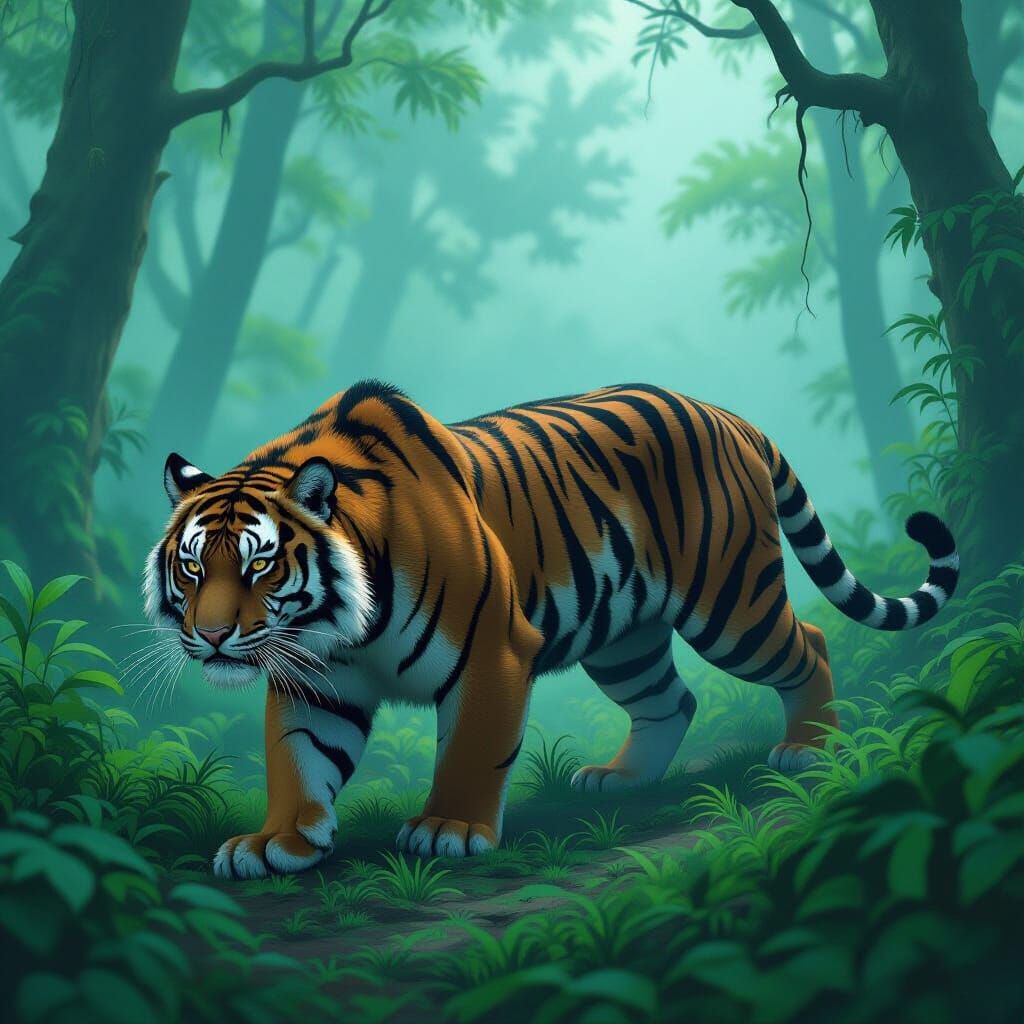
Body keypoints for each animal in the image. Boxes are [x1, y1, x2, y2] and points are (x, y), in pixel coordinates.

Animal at [144, 381, 959, 878]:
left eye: (259, 565)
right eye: (192, 566)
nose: (210, 637)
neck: (337, 626)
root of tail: (730, 415)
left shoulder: (490, 652)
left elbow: (472, 750)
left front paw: (448, 831)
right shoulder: (316, 679)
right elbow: (298, 759)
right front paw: (278, 842)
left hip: (733, 605)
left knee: (809, 648)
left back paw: (810, 750)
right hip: (627, 639)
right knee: (673, 700)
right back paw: (622, 778)